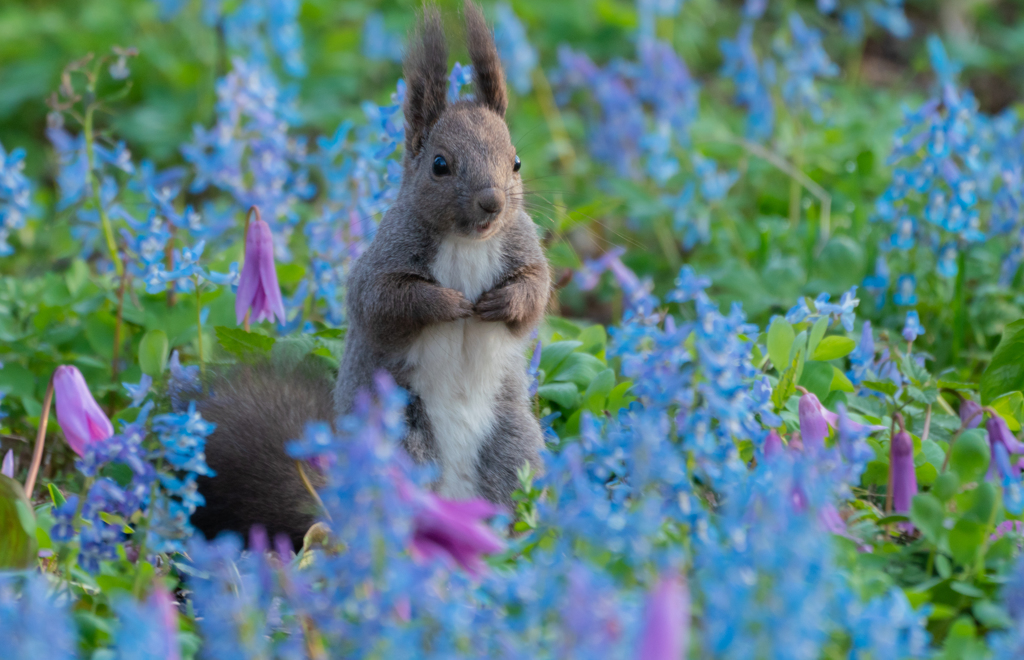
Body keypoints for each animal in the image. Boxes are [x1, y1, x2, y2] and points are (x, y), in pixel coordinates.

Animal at [187, 2, 552, 548]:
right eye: (440, 165)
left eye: (516, 162)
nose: (492, 202)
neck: (468, 243)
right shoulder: (383, 261)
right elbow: (384, 300)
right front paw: (448, 304)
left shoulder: (521, 245)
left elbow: (537, 289)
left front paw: (501, 303)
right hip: (398, 437)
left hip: (514, 447)